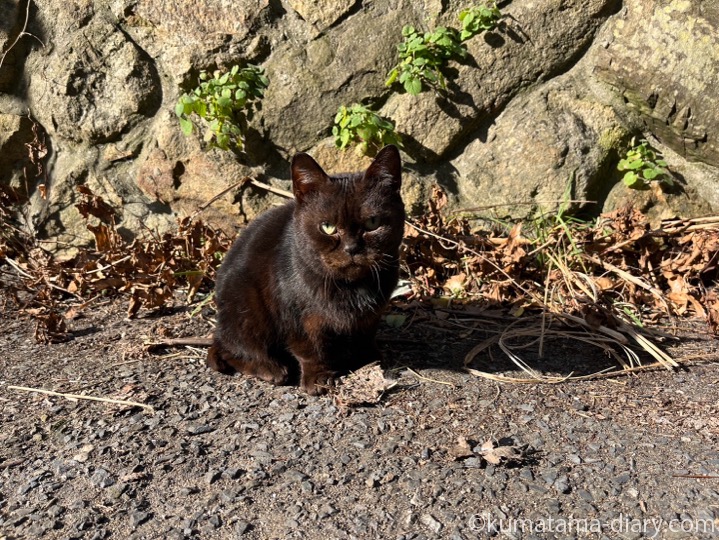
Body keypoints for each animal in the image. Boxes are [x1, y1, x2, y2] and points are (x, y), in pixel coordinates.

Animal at [210, 146, 404, 394]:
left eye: (373, 223)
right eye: (328, 227)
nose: (351, 248)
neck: (350, 288)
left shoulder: (372, 313)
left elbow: (365, 336)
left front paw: (369, 359)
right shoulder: (297, 316)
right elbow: (310, 349)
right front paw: (319, 379)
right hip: (247, 313)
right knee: (229, 349)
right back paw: (271, 369)